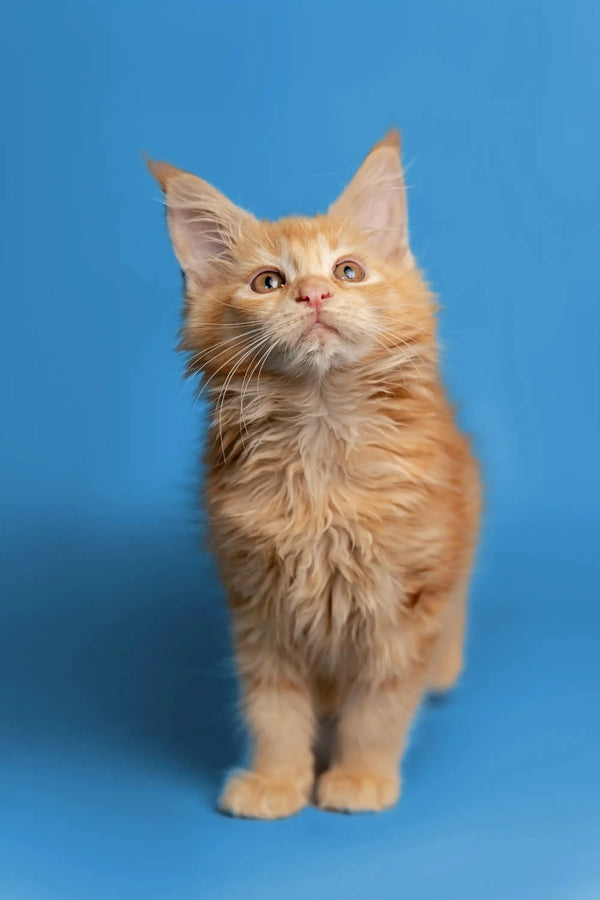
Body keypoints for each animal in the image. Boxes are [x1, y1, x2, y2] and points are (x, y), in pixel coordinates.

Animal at [150, 132, 482, 816]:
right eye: (268, 281)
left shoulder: (407, 602)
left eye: (347, 271)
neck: (321, 435)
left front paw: (360, 776)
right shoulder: (259, 603)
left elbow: (380, 705)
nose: (314, 295)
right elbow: (272, 708)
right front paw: (276, 780)